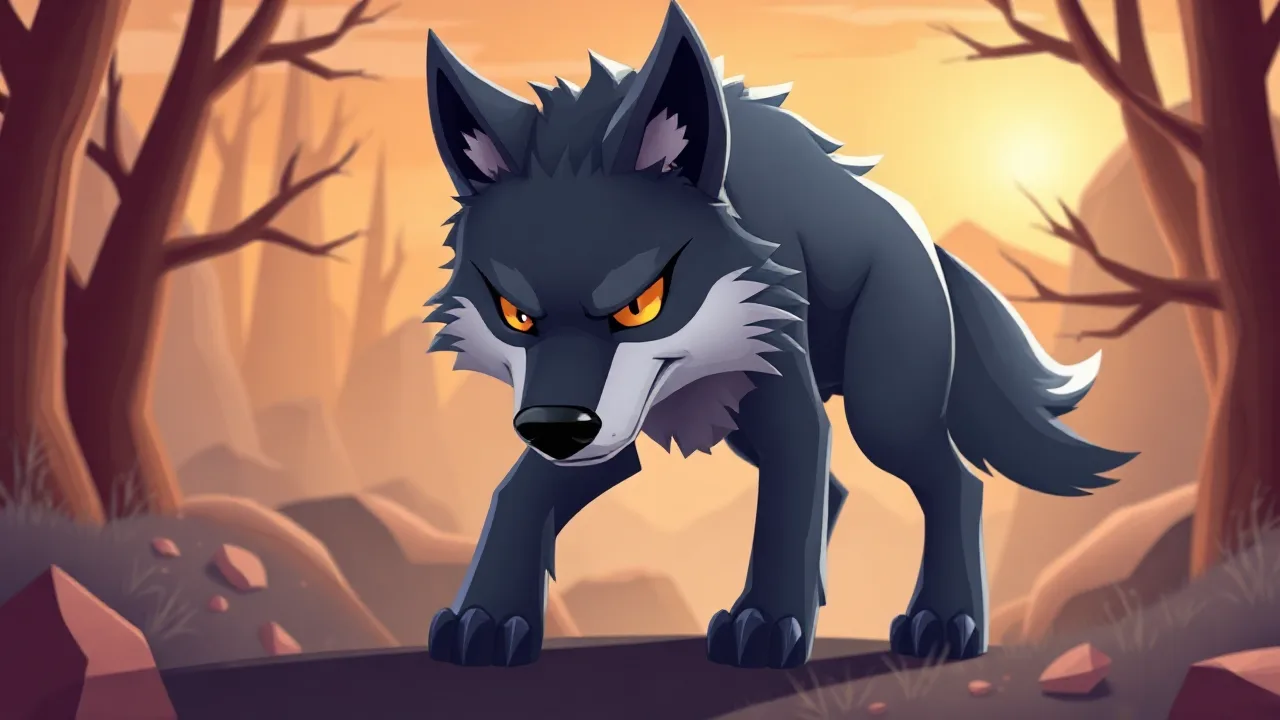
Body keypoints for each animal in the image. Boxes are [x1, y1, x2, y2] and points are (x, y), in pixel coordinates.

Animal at [421, 1, 1134, 670]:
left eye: (641, 305)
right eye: (514, 314)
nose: (552, 427)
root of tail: (923, 236)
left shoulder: (775, 401)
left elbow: (788, 502)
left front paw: (764, 625)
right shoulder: (597, 428)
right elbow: (516, 493)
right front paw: (487, 615)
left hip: (884, 416)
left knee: (953, 482)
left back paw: (945, 622)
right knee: (838, 488)